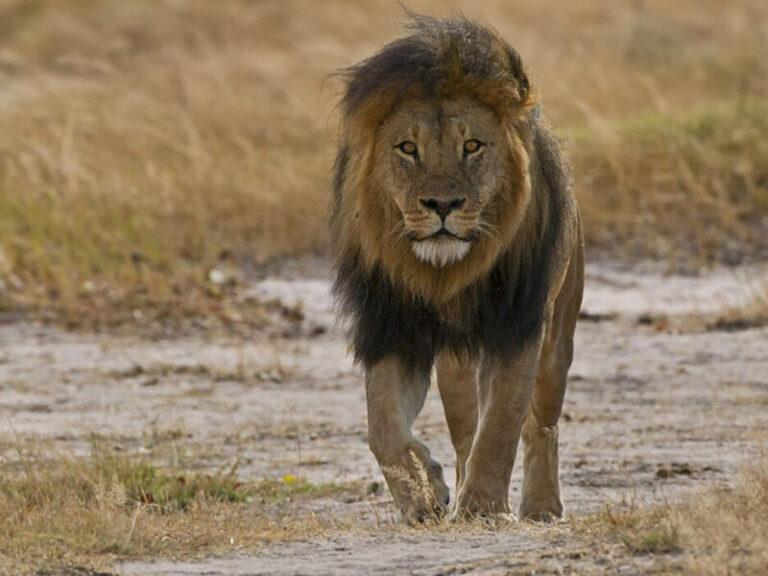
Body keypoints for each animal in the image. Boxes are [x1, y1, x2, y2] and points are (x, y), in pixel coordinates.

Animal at [330, 14, 584, 523]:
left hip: (557, 339)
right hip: (455, 366)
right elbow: (382, 428)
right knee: (466, 432)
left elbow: (503, 425)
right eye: (408, 148)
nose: (442, 204)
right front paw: (423, 495)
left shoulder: (517, 327)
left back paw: (541, 506)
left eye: (472, 146)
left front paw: (484, 507)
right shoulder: (392, 327)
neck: (444, 277)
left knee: (541, 426)